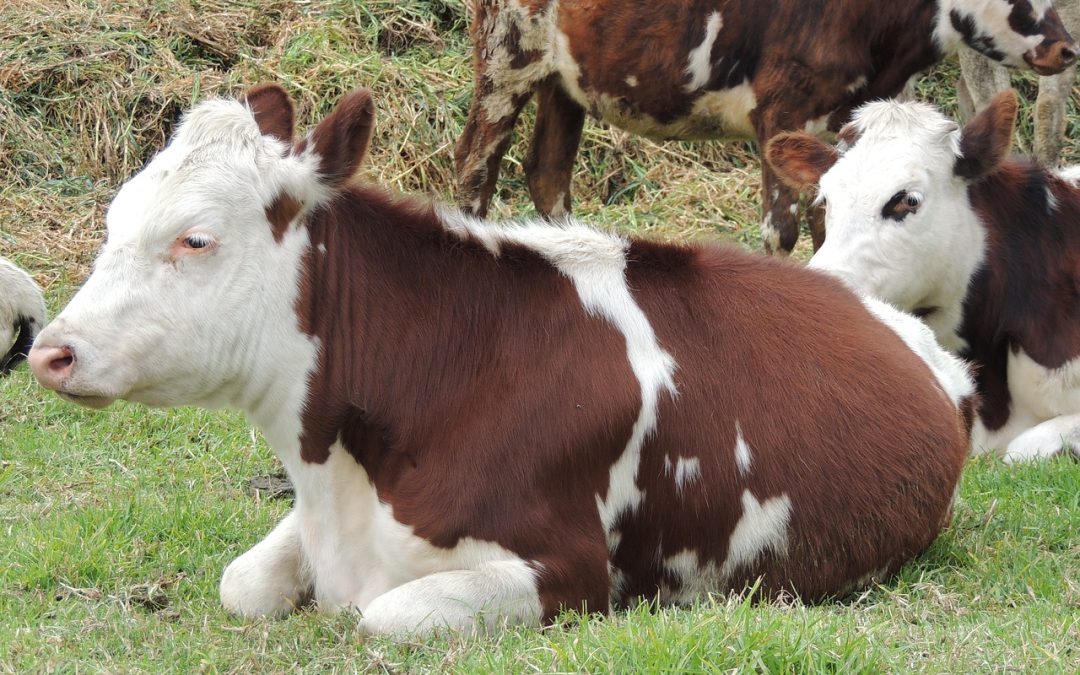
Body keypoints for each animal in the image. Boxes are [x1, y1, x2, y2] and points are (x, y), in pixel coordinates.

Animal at [33, 84, 976, 635]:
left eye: (195, 238)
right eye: (116, 219)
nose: (50, 349)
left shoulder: (568, 571)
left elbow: (383, 617)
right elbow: (244, 580)